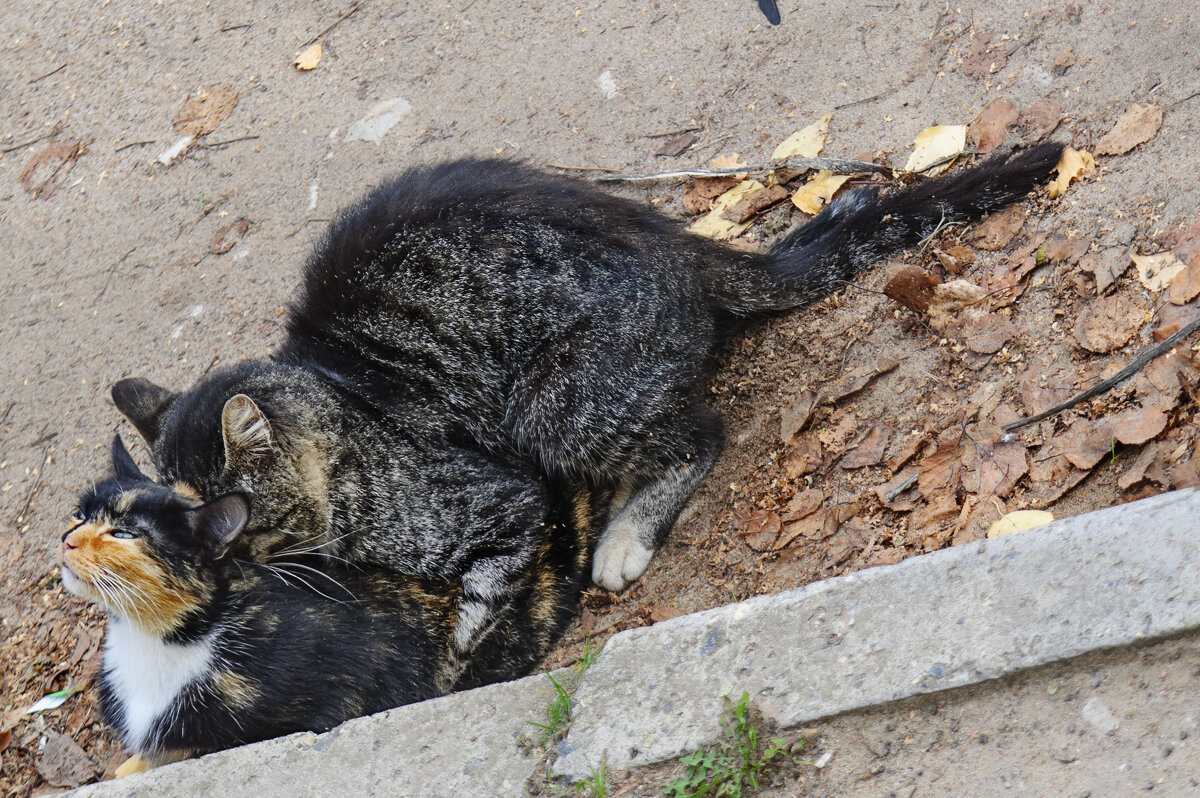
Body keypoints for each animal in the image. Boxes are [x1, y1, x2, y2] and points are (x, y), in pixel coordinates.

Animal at [112, 141, 1065, 643]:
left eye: (230, 524)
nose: (215, 570)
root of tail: (680, 246)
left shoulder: (500, 497)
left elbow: (484, 589)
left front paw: (462, 637)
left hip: (555, 407)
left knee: (699, 432)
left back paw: (623, 538)